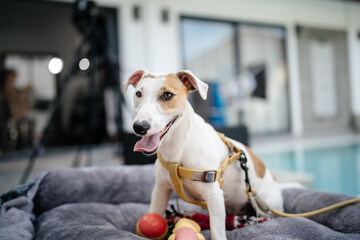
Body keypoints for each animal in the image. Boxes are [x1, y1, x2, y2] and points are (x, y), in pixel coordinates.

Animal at [124, 70, 284, 239]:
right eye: (138, 93)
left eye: (167, 95)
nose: (139, 127)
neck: (179, 146)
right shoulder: (160, 190)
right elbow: (155, 212)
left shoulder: (214, 195)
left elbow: (217, 232)